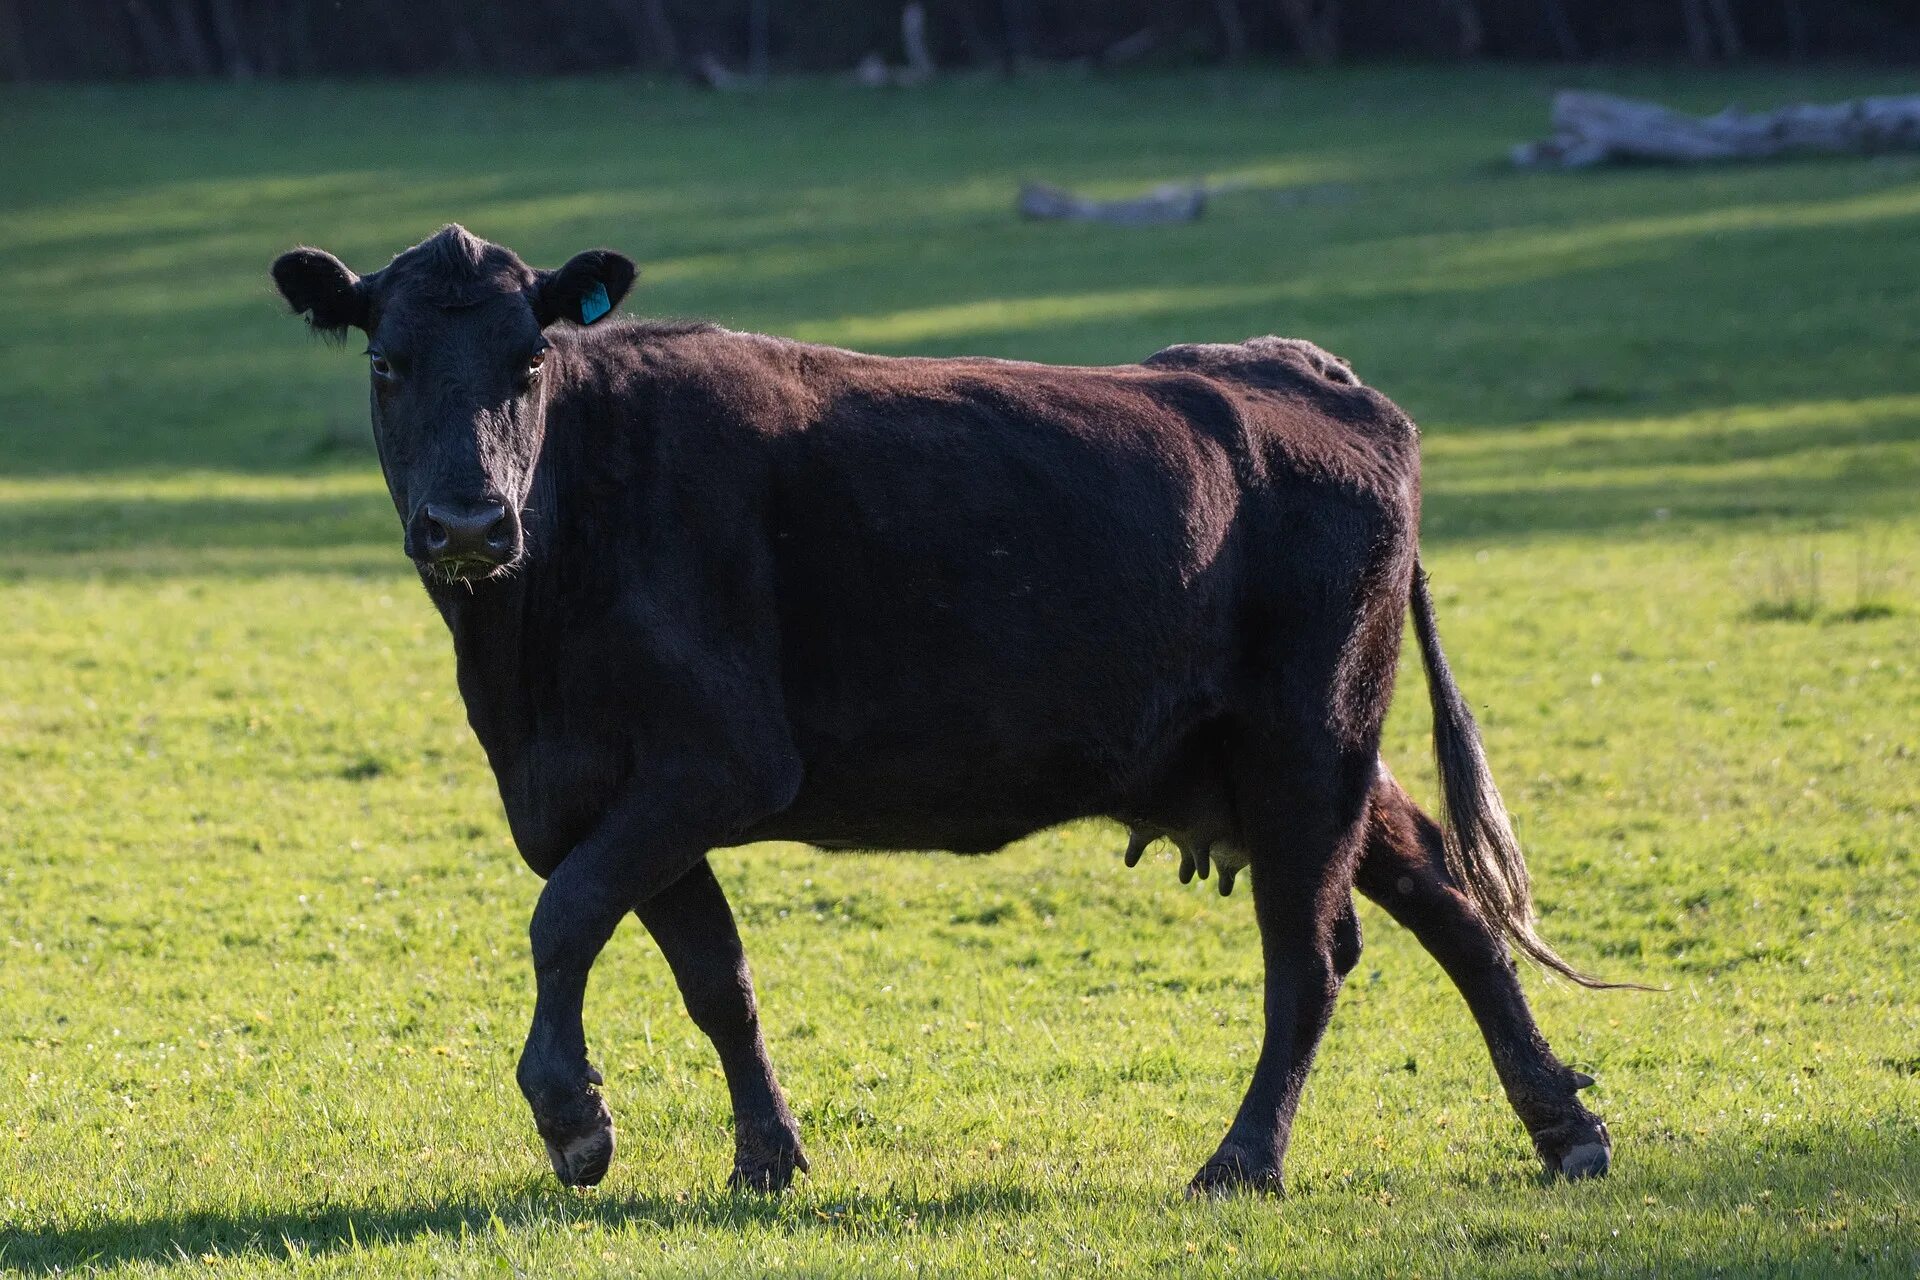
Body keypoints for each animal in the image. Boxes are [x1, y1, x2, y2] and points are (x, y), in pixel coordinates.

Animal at [270, 225, 1612, 1197]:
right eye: (386, 362)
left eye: (531, 364)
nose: (468, 521)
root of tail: (1317, 375)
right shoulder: (608, 790)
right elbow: (714, 974)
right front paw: (766, 1157)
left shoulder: (715, 762)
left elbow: (564, 919)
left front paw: (573, 1117)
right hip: (1291, 754)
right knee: (1447, 894)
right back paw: (1564, 1126)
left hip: (1308, 741)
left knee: (1313, 957)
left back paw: (1243, 1161)